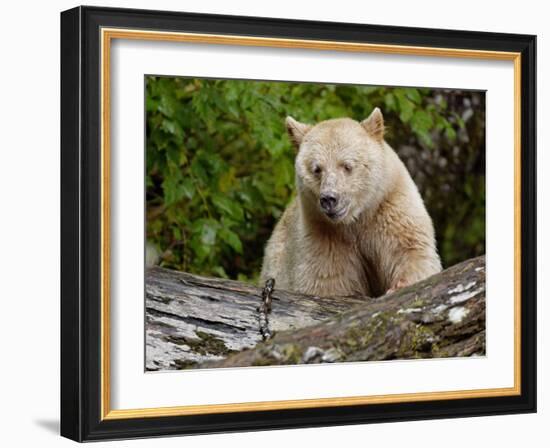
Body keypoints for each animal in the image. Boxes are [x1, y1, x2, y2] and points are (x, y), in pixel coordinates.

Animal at [262, 108, 444, 298]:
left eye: (347, 166)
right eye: (317, 169)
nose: (329, 199)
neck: (355, 219)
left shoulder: (391, 206)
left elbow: (411, 250)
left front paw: (399, 286)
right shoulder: (322, 234)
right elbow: (327, 279)